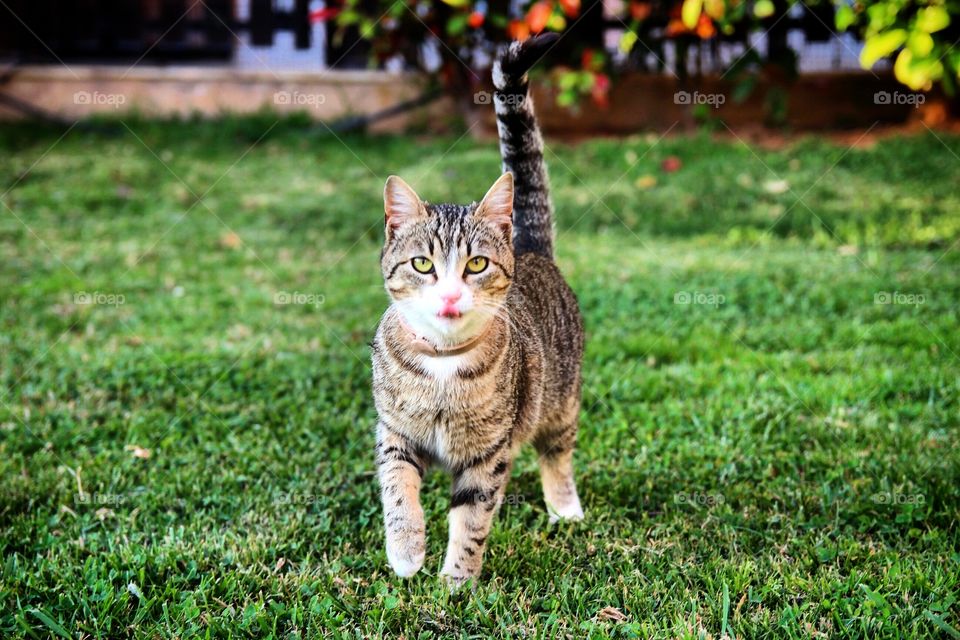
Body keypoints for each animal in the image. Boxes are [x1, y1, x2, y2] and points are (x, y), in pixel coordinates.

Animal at [368, 33, 580, 584]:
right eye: (423, 264)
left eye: (477, 264)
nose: (448, 295)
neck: (443, 364)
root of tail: (531, 249)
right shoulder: (395, 435)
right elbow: (398, 492)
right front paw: (406, 553)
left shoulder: (488, 453)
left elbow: (472, 517)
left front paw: (457, 580)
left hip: (561, 400)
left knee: (557, 453)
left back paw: (565, 507)